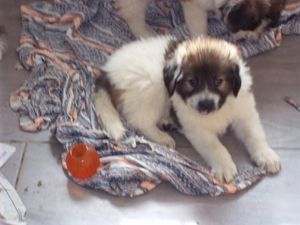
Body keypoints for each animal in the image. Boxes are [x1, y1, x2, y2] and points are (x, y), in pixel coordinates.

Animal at [94, 36, 282, 182]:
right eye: (192, 82)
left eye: (218, 81)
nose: (205, 104)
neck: (219, 109)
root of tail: (108, 72)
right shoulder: (197, 129)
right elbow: (216, 147)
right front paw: (224, 165)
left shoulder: (244, 113)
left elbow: (255, 136)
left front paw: (266, 155)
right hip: (153, 85)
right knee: (139, 120)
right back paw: (162, 137)